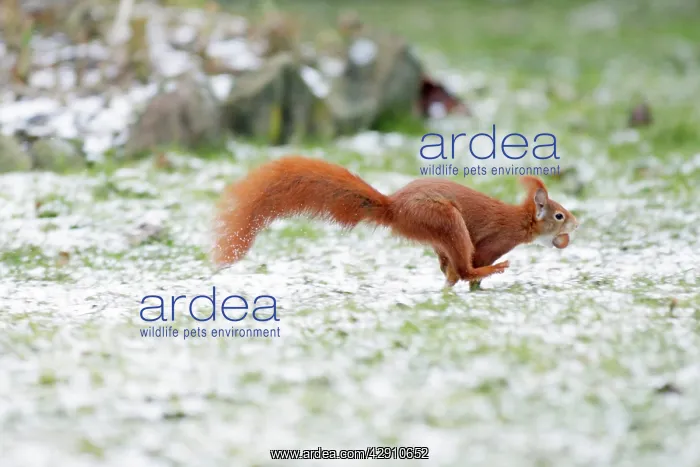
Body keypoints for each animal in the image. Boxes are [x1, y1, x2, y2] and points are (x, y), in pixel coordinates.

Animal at [213, 156, 579, 288]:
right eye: (559, 215)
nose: (576, 224)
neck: (521, 222)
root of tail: (394, 207)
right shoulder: (495, 240)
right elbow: (474, 261)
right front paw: (480, 279)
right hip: (445, 219)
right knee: (461, 267)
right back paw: (486, 271)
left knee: (447, 265)